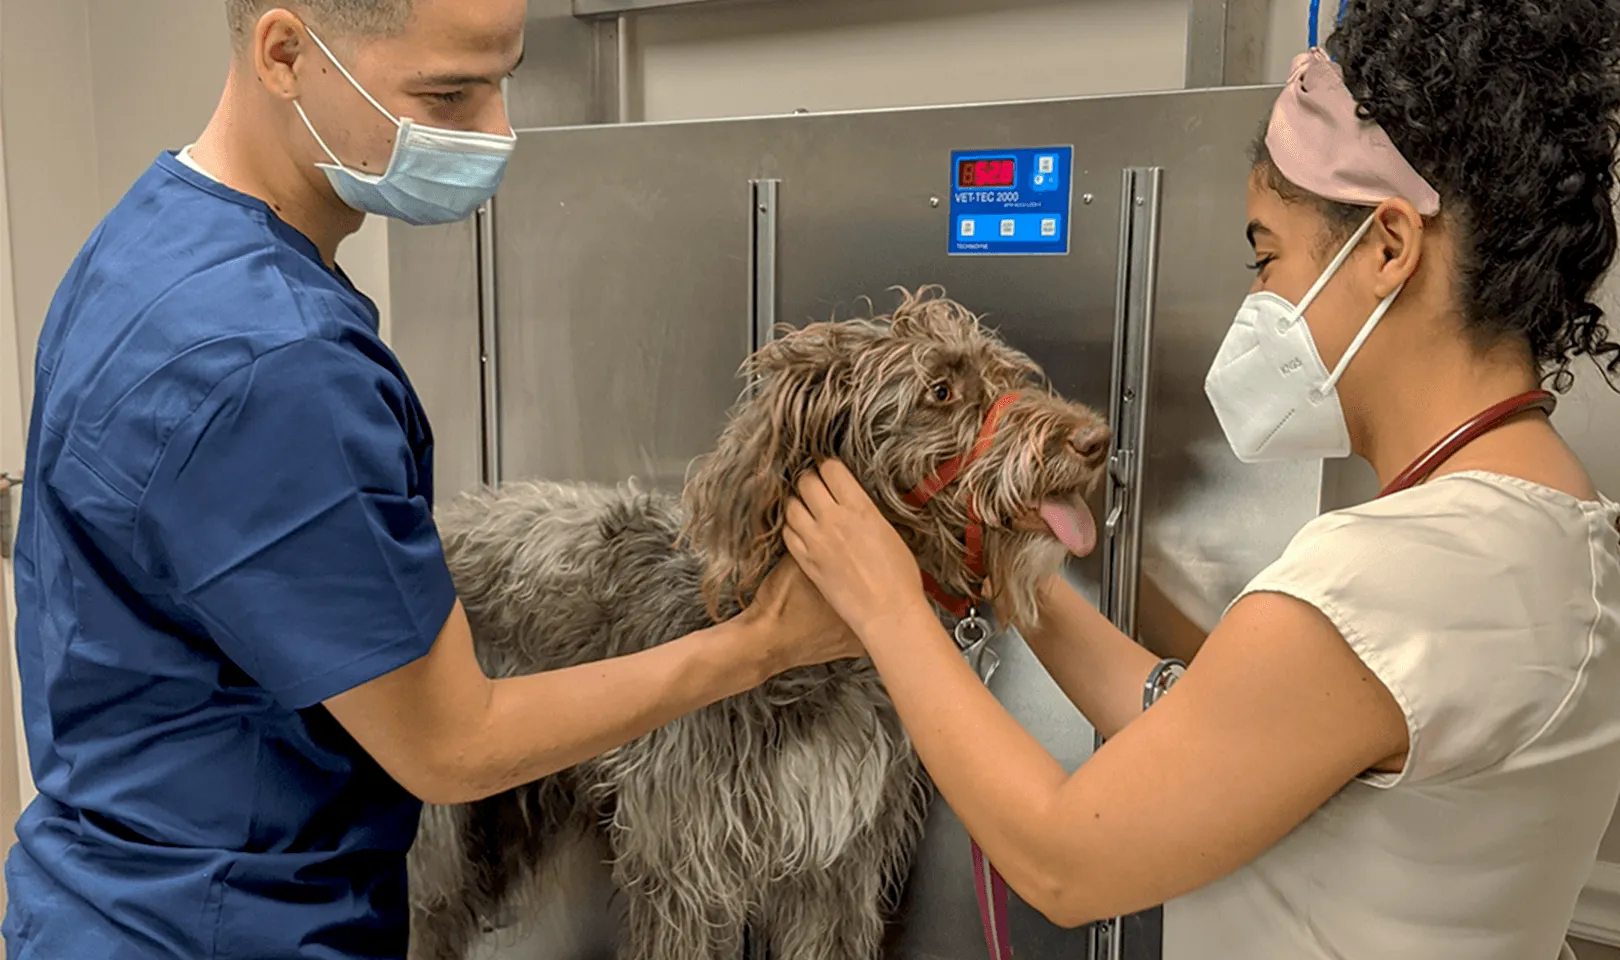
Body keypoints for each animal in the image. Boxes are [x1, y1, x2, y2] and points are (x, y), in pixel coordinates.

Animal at [405, 286, 1114, 958]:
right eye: (940, 391)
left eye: (1006, 373)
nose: (1096, 440)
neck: (822, 668)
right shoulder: (685, 870)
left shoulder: (837, 866)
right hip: (437, 848)